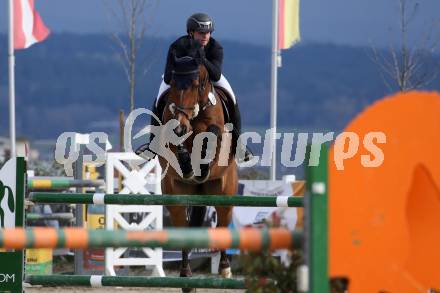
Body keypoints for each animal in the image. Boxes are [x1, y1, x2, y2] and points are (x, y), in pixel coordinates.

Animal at [155, 46, 237, 292]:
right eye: (173, 83)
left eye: (195, 84)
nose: (181, 126)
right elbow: (178, 144)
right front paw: (186, 163)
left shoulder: (215, 129)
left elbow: (211, 134)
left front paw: (200, 163)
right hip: (177, 198)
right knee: (184, 232)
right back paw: (186, 277)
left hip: (224, 194)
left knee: (222, 224)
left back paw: (225, 269)